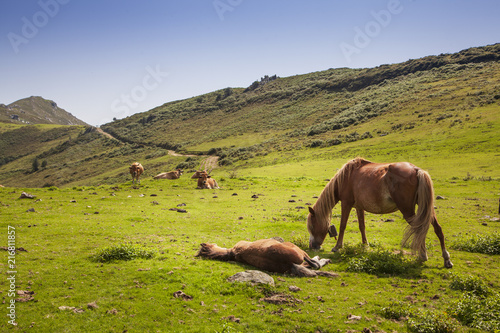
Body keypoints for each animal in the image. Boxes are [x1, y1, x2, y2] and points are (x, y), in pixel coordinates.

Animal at [306, 157, 456, 268]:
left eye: (312, 226)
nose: (312, 246)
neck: (346, 177)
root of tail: (416, 170)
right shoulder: (359, 207)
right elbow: (362, 226)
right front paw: (365, 245)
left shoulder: (346, 204)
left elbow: (343, 225)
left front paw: (337, 247)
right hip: (426, 209)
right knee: (437, 229)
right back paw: (446, 259)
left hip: (408, 210)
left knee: (419, 229)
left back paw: (423, 256)